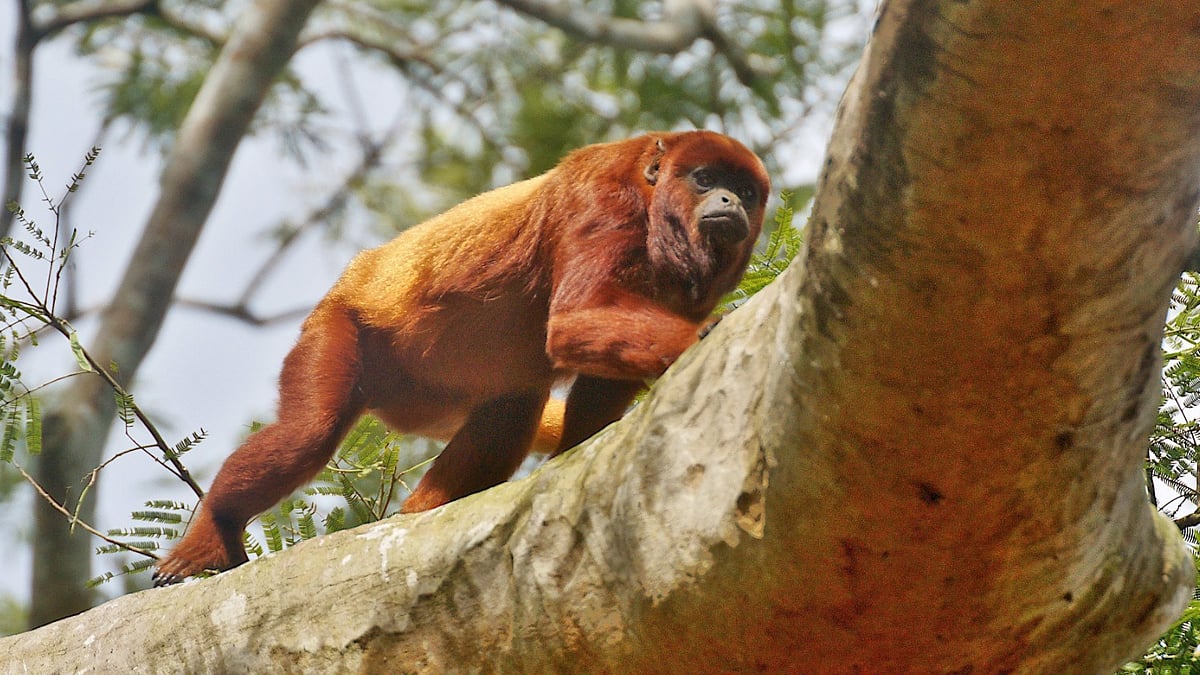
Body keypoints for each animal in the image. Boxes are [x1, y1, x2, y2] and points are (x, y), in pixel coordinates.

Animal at [152, 130, 769, 585]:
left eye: (745, 190)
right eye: (706, 179)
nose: (729, 202)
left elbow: (597, 378)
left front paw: (577, 455)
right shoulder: (603, 200)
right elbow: (573, 321)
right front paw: (705, 332)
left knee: (513, 405)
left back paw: (419, 513)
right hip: (339, 329)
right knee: (310, 430)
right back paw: (215, 529)